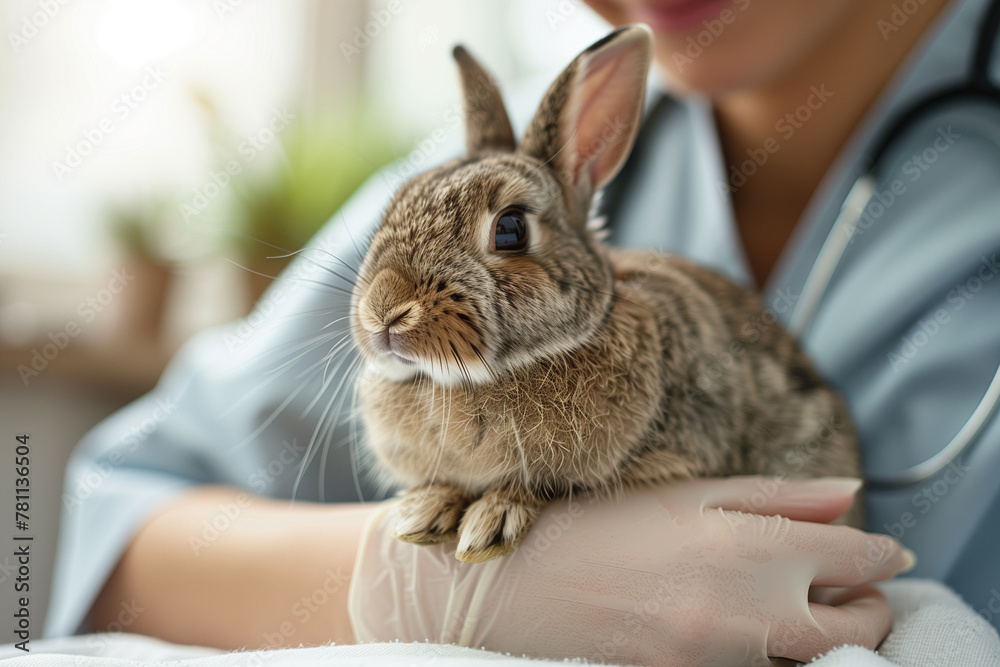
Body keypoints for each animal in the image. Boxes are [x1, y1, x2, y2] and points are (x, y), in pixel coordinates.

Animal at [350, 24, 863, 564]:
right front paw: (424, 510)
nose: (384, 311)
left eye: (510, 229)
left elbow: (539, 486)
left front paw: (494, 518)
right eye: (395, 202)